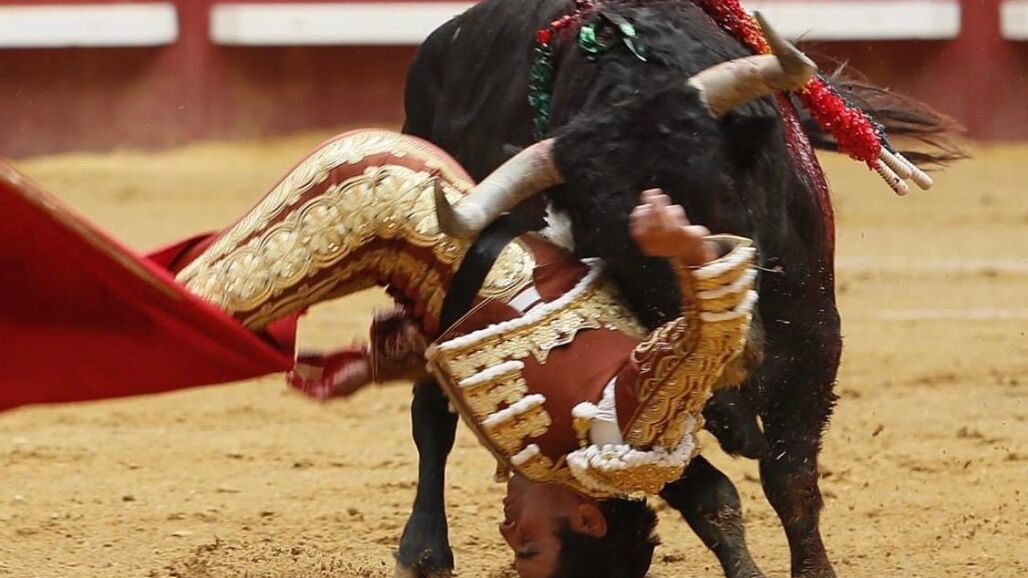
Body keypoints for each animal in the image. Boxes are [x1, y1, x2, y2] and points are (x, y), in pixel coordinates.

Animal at [391, 1, 963, 577]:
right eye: (608, 235)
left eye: (724, 190)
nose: (737, 349)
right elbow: (707, 492)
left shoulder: (812, 338)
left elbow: (792, 480)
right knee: (430, 410)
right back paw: (423, 549)